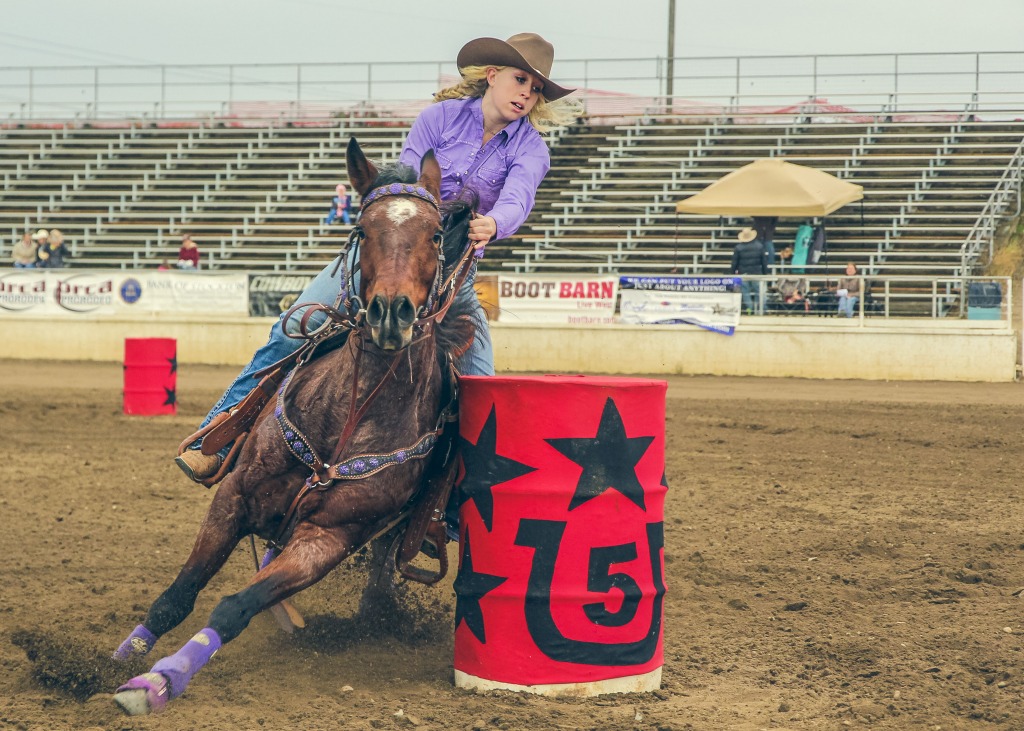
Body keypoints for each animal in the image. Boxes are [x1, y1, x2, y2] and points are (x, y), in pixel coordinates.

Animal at [110, 137, 477, 712]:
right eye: (361, 229)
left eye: (436, 234)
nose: (390, 313)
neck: (349, 418)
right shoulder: (235, 495)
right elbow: (179, 594)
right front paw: (114, 662)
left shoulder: (326, 540)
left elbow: (234, 607)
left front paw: (158, 681)